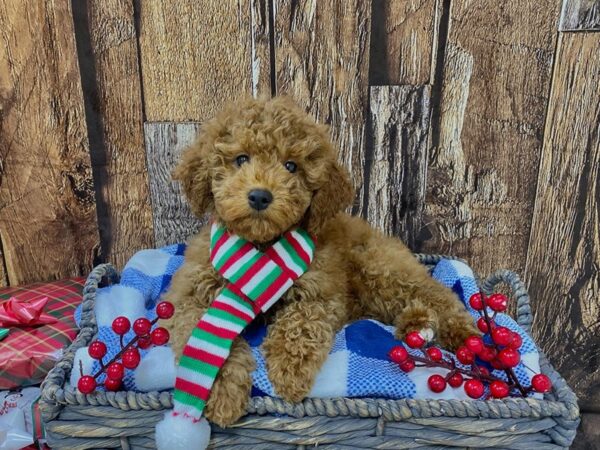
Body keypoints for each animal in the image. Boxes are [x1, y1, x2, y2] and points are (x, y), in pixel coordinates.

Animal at [161, 94, 478, 426]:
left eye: (291, 166)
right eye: (241, 159)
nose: (260, 196)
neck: (262, 245)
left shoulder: (321, 292)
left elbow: (300, 324)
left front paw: (289, 373)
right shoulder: (188, 297)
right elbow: (202, 336)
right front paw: (221, 391)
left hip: (378, 269)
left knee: (438, 294)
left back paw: (464, 336)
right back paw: (417, 327)